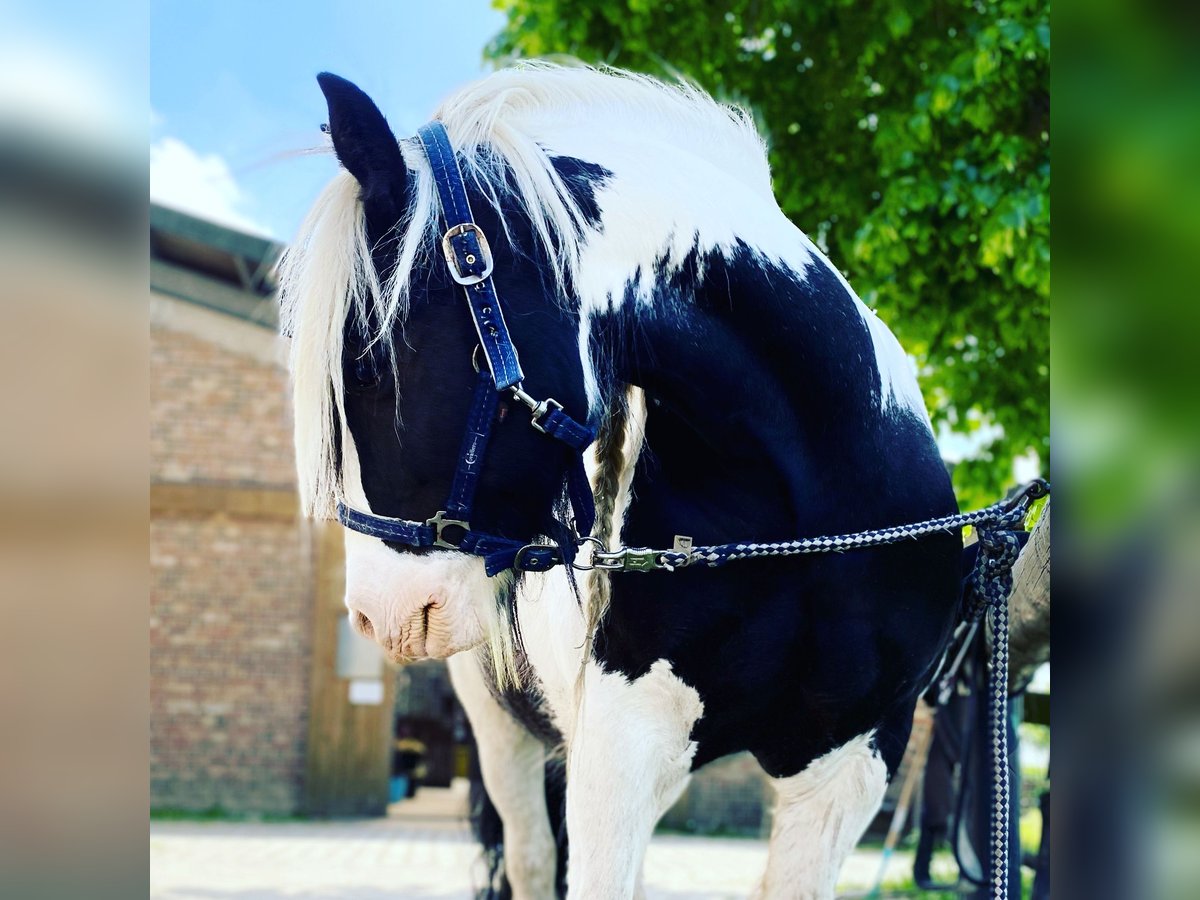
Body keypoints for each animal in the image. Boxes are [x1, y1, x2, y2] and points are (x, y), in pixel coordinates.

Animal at [278, 65, 955, 900]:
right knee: (534, 858)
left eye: (370, 365)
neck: (814, 523)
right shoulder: (624, 743)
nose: (377, 615)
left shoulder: (851, 763)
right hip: (503, 735)